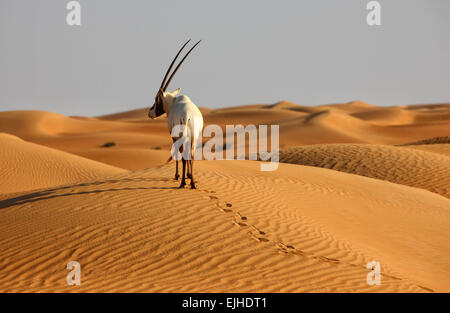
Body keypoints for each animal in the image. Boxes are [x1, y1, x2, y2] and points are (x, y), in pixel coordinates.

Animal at [148, 40, 204, 189]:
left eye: (156, 99)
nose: (150, 113)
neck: (174, 102)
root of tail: (188, 116)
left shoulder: (173, 135)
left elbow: (177, 153)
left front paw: (177, 176)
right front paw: (189, 176)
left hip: (181, 135)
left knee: (183, 155)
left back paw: (183, 183)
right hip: (194, 136)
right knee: (191, 155)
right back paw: (192, 183)